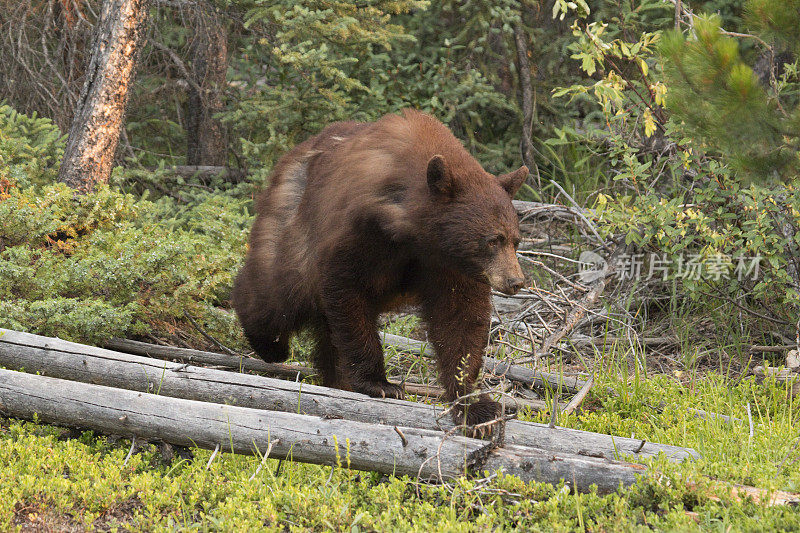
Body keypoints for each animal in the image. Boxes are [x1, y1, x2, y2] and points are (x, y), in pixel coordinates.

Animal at [231, 108, 528, 424]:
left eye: (515, 240)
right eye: (492, 240)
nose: (515, 282)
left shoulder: (450, 263)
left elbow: (460, 318)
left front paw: (475, 405)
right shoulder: (362, 232)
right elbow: (347, 289)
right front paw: (379, 383)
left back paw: (336, 378)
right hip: (293, 225)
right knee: (278, 293)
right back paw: (269, 343)